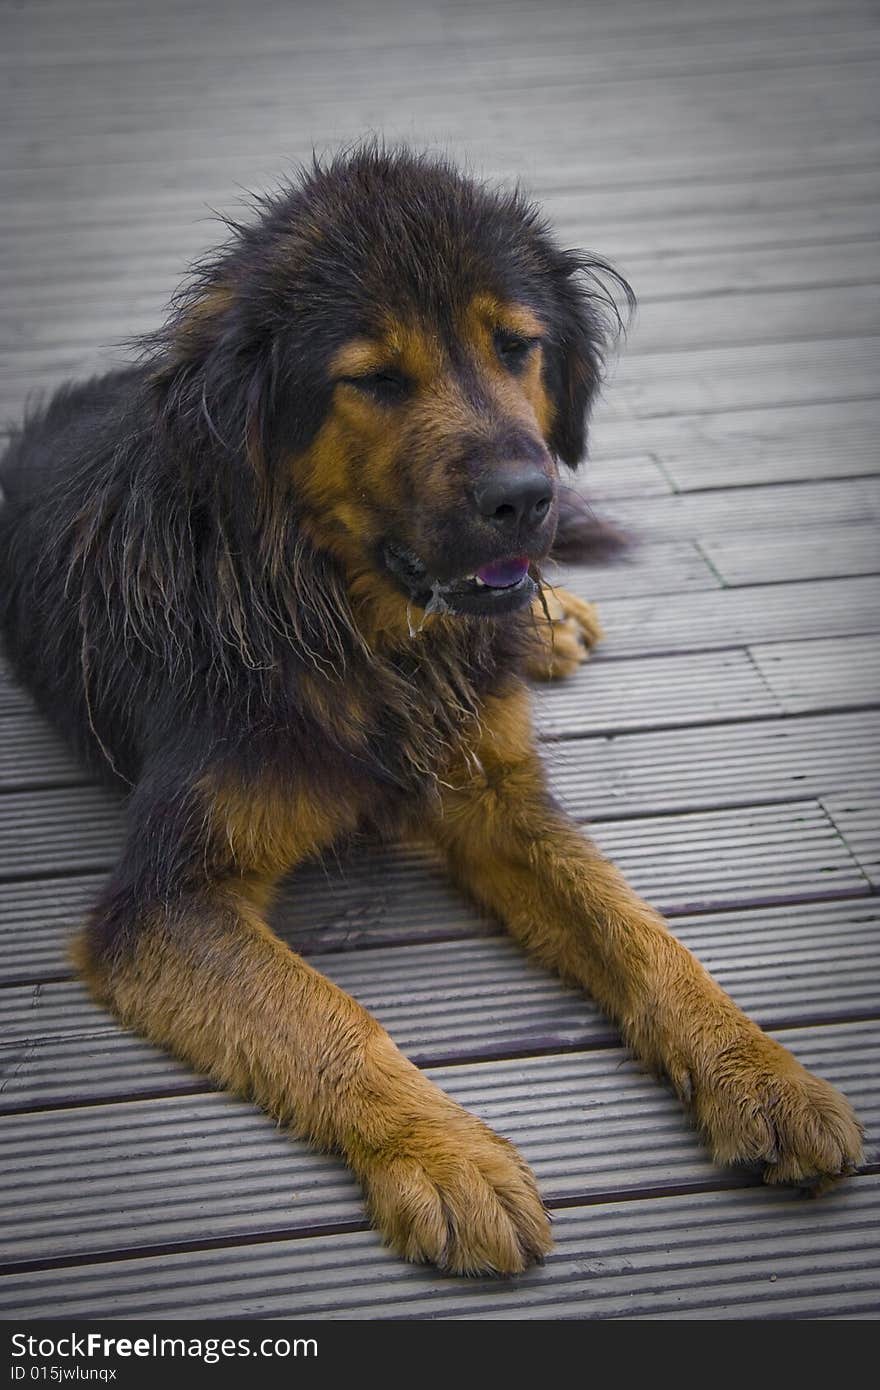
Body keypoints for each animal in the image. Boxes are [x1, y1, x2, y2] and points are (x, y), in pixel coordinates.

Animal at [0, 146, 861, 1273]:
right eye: (372, 378)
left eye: (517, 346)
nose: (526, 497)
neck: (355, 627)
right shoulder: (167, 901)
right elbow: (326, 1015)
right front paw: (447, 1157)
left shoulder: (495, 794)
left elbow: (635, 926)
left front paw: (759, 1071)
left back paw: (549, 619)